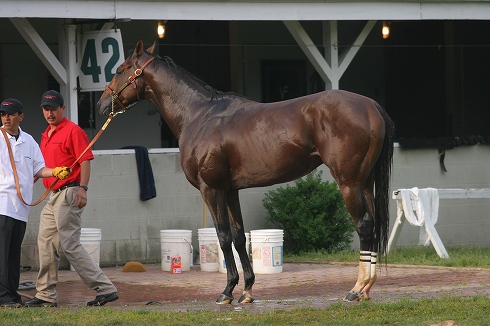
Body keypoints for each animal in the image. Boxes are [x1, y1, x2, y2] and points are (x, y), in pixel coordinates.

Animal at [97, 40, 396, 304]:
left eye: (120, 69)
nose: (101, 104)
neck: (199, 115)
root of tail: (371, 106)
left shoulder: (211, 189)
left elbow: (223, 236)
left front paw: (227, 291)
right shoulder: (231, 190)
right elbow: (240, 237)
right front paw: (247, 291)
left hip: (349, 183)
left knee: (364, 225)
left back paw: (356, 289)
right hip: (365, 182)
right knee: (372, 224)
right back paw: (366, 289)